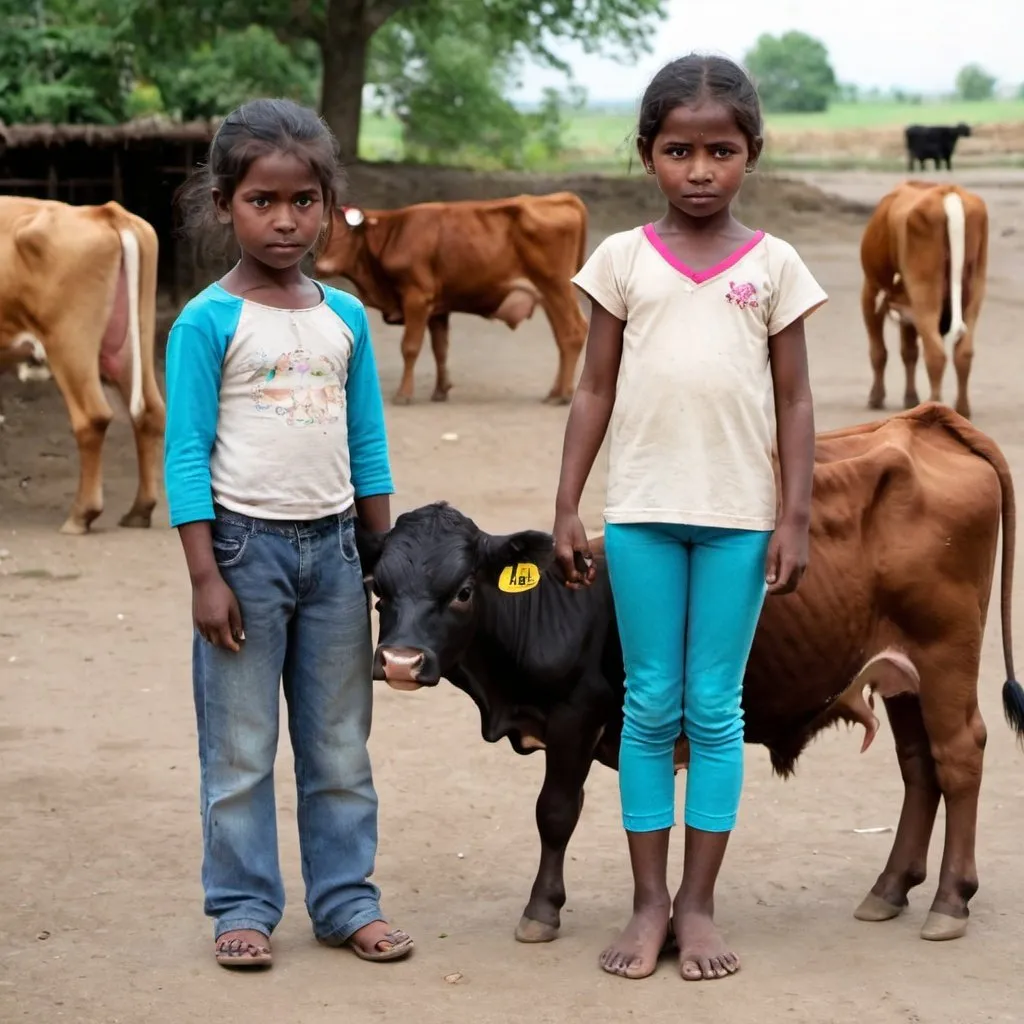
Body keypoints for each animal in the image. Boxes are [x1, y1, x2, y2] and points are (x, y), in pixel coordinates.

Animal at [1, 199, 165, 536]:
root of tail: (102, 211)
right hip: (131, 345)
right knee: (151, 414)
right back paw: (139, 511)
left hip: (70, 342)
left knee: (92, 417)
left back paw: (81, 515)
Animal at [311, 191, 589, 403]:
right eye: (322, 232)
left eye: (345, 232)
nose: (321, 266)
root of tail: (561, 198)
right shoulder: (438, 308)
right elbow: (440, 349)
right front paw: (440, 390)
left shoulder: (417, 297)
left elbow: (410, 347)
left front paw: (404, 394)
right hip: (549, 295)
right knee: (563, 337)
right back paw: (557, 391)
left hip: (556, 287)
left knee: (573, 332)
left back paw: (561, 396)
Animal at [362, 403, 1024, 946]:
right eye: (378, 592)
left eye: (463, 590)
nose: (400, 662)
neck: (552, 612)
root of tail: (927, 422)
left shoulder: (577, 716)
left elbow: (556, 811)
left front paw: (541, 910)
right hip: (901, 673)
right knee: (919, 767)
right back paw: (890, 888)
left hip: (945, 654)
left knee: (959, 756)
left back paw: (950, 900)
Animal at [860, 178, 987, 417]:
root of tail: (947, 191)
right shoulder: (907, 307)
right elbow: (909, 352)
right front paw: (910, 398)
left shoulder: (871, 291)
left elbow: (879, 352)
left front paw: (876, 397)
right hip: (975, 286)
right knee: (963, 352)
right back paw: (962, 408)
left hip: (924, 290)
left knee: (936, 353)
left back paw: (934, 405)